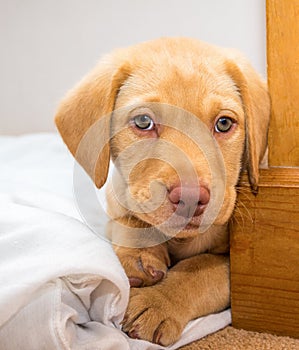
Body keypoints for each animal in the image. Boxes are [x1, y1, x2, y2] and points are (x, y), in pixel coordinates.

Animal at [54, 37, 272, 346]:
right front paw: (140, 255)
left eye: (224, 123)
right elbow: (128, 218)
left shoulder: (240, 269)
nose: (191, 198)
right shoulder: (117, 201)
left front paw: (158, 301)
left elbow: (200, 271)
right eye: (143, 122)